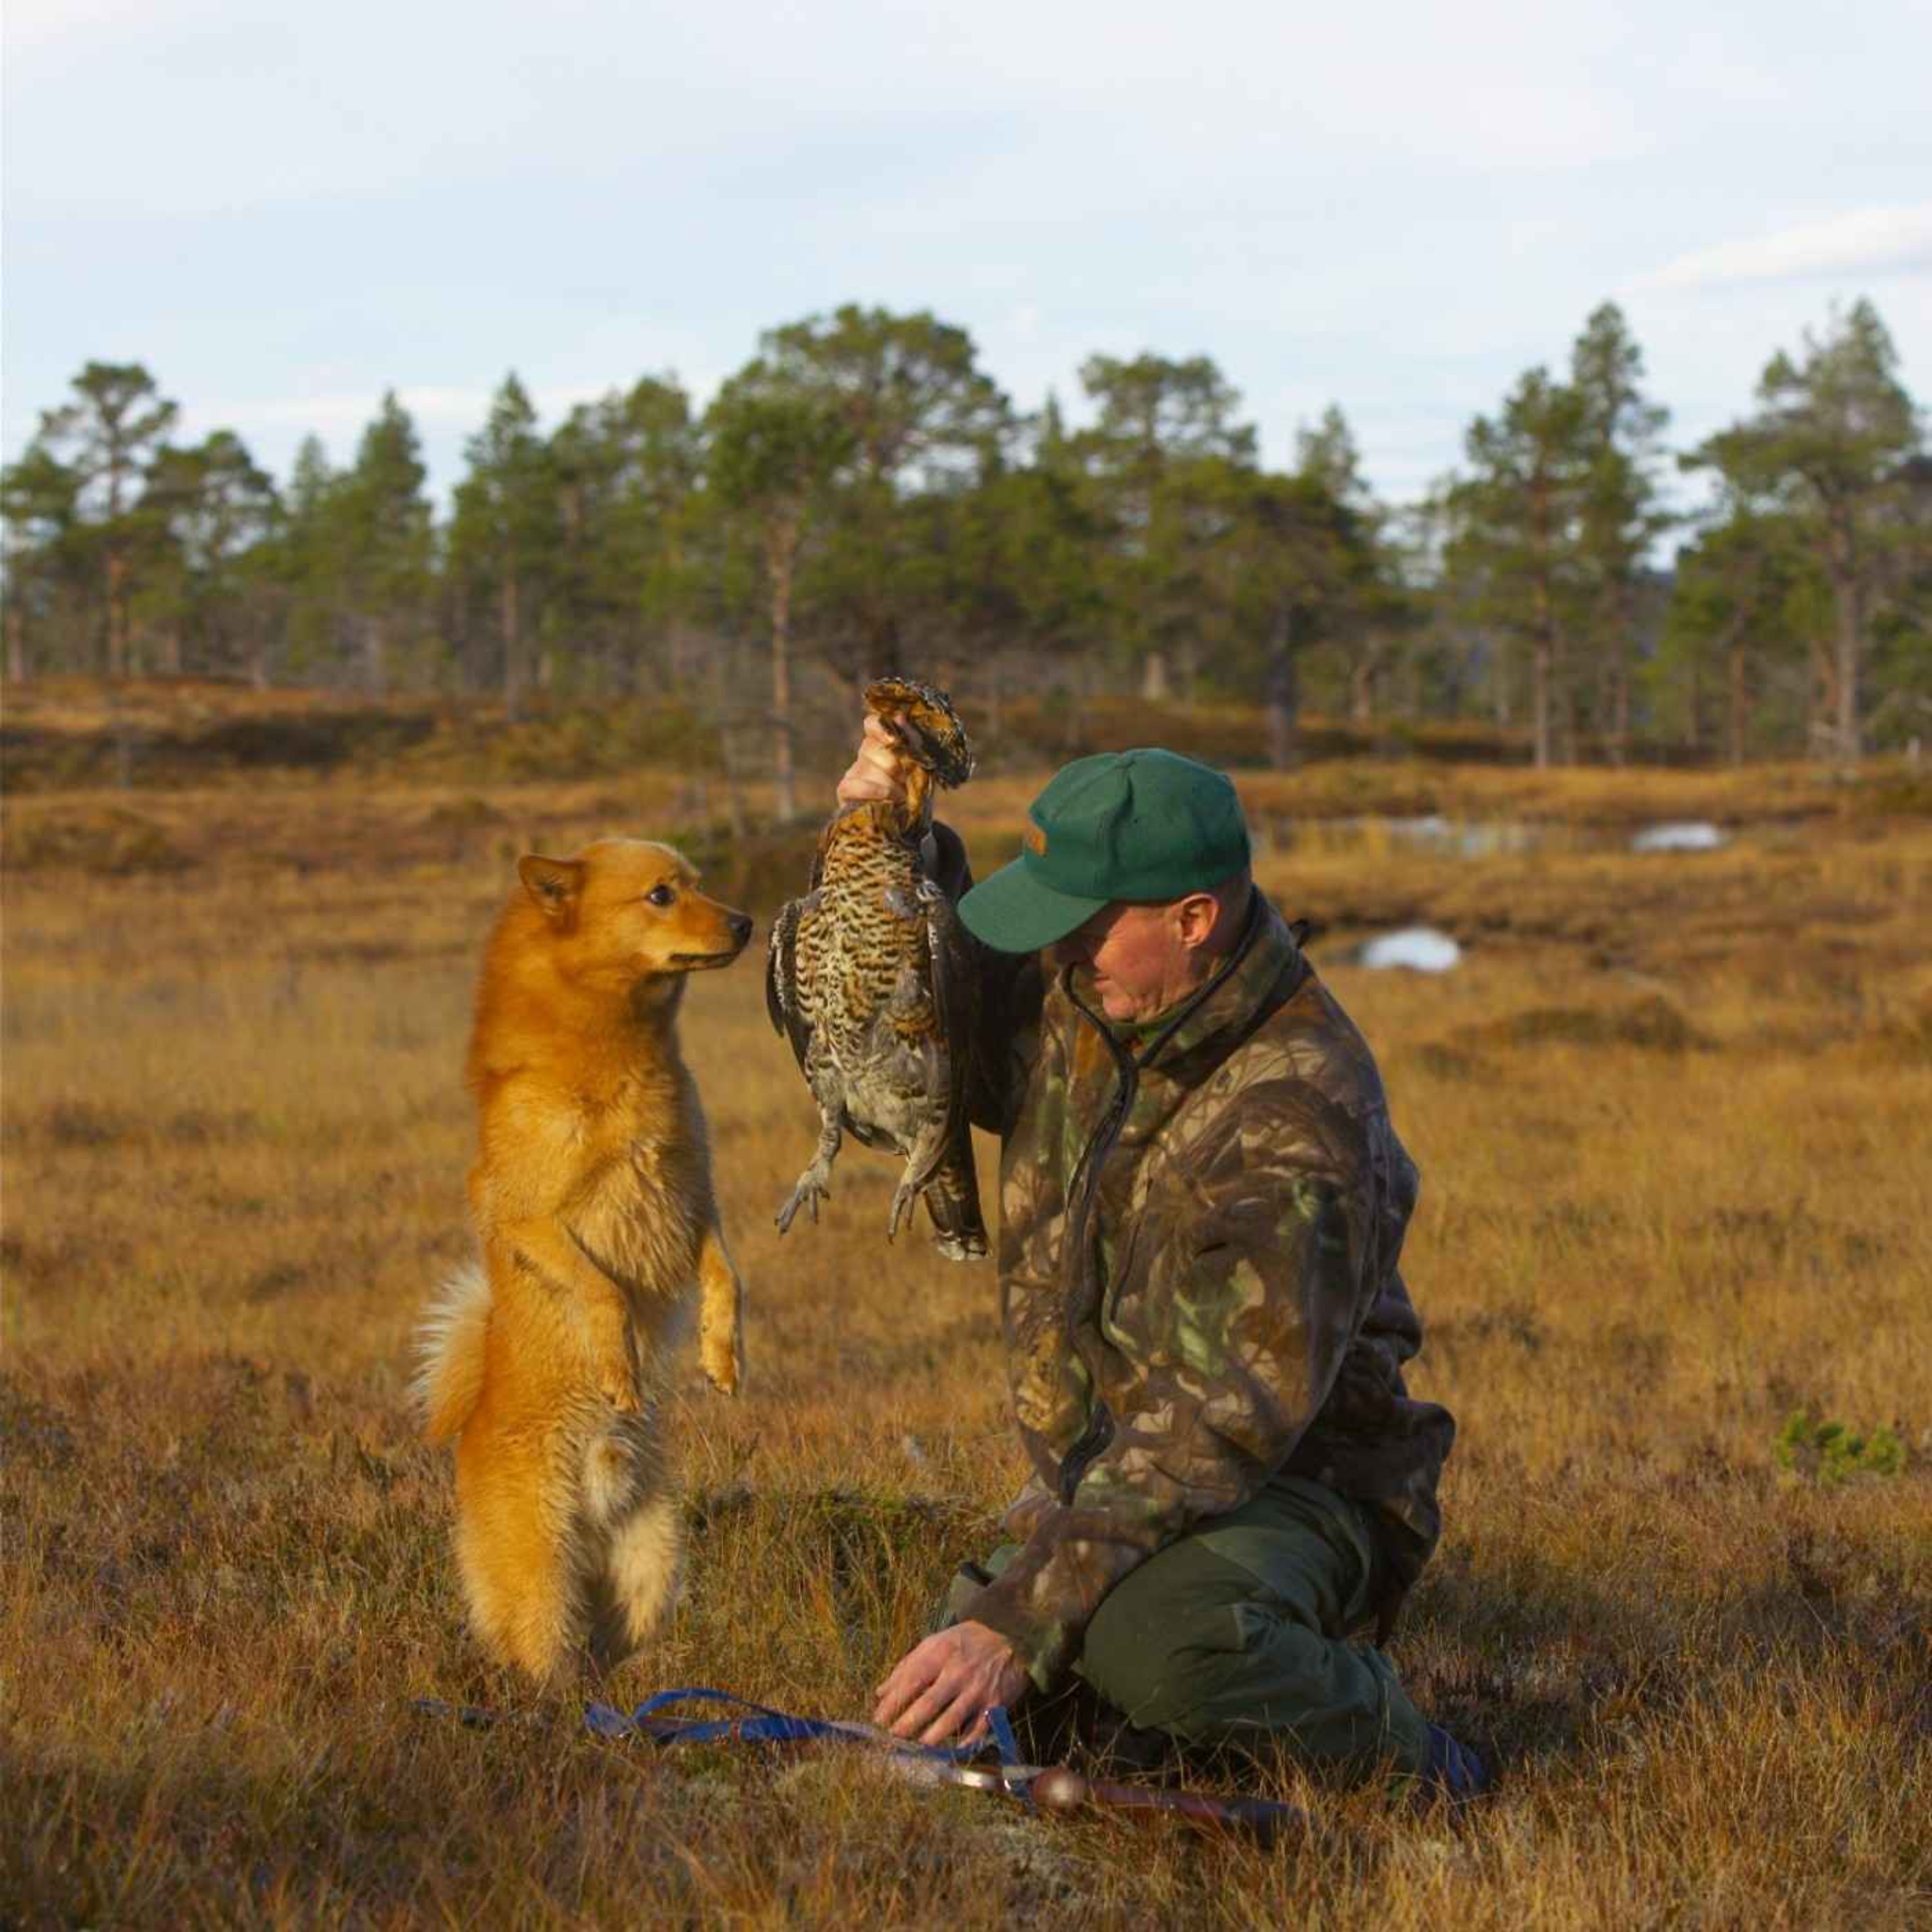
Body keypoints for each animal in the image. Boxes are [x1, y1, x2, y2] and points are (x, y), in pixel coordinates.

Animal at [415, 838, 753, 1685]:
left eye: (697, 884)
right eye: (661, 894)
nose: (745, 922)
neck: (617, 1052)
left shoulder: (694, 1196)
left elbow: (726, 1279)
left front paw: (721, 1356)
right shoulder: (527, 1218)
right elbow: (602, 1293)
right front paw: (618, 1367)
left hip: (651, 1573)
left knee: (609, 1648)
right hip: (543, 1587)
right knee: (542, 1668)